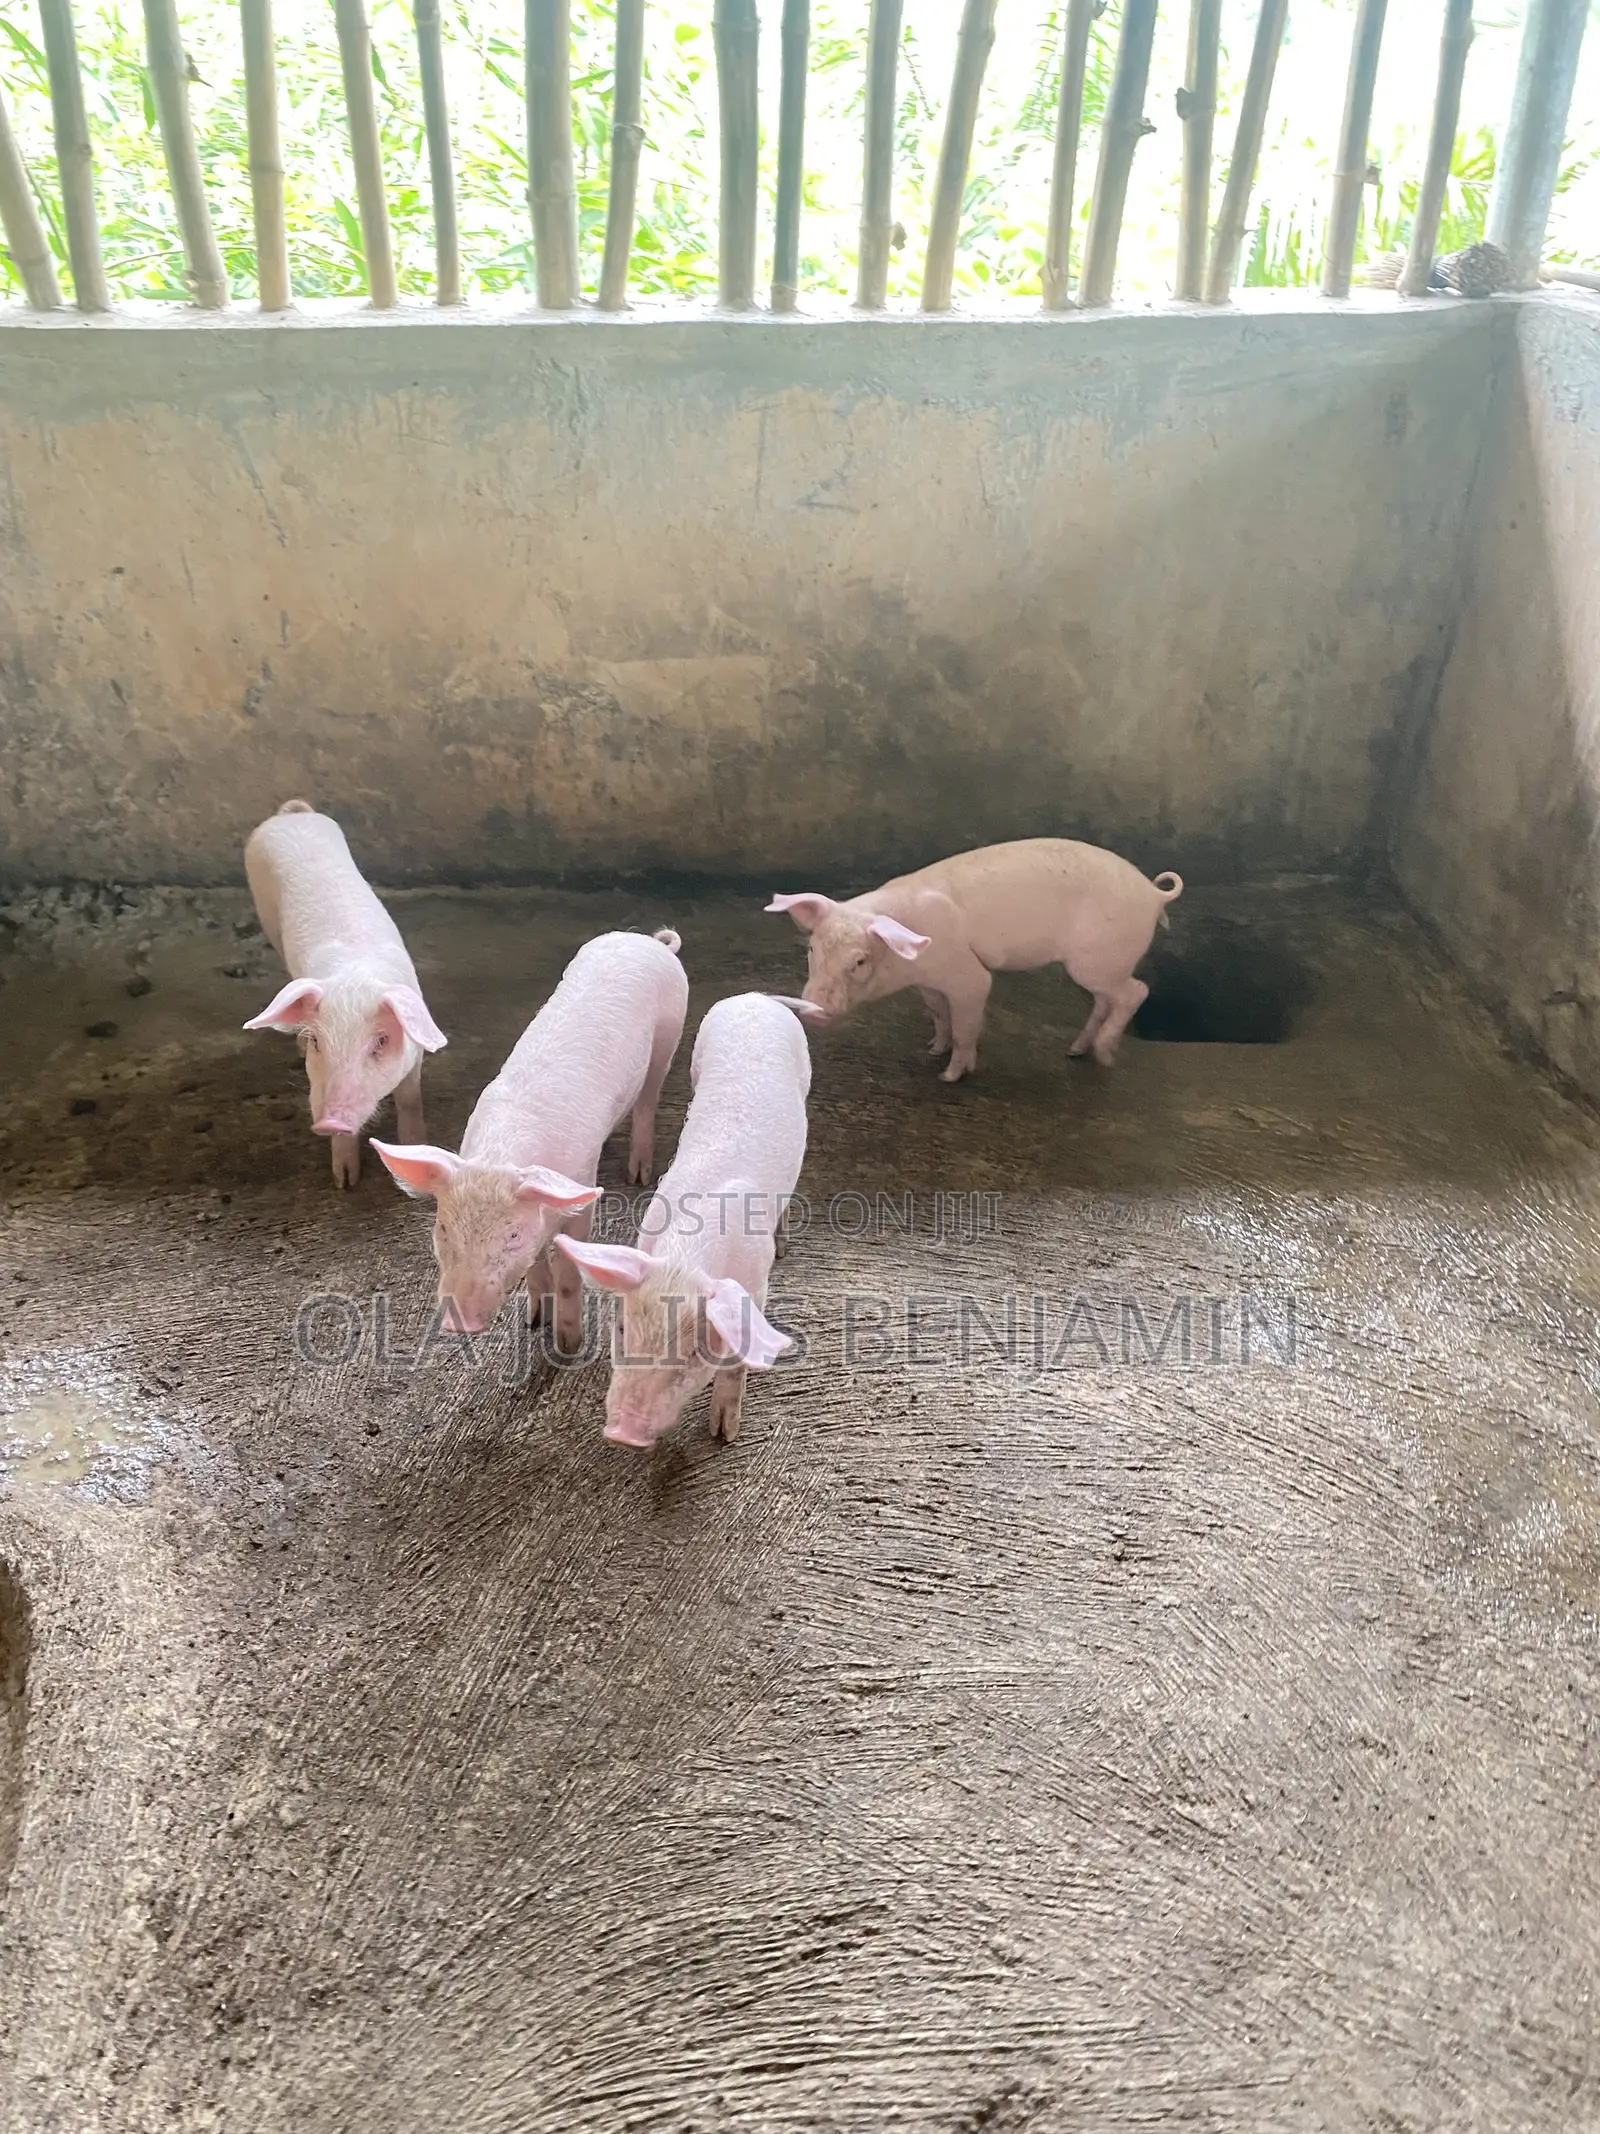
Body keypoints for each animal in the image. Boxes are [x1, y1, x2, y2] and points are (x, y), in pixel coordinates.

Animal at [243, 800, 448, 1186]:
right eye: (317, 1042)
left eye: (381, 1041)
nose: (329, 1120)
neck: (357, 977)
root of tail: (291, 815)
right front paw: (345, 1183)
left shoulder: (414, 1057)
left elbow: (410, 1101)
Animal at [372, 928, 688, 1350]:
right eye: (442, 1228)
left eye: (512, 1234)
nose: (459, 1322)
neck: (499, 1156)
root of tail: (652, 943)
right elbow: (537, 1268)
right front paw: (534, 1322)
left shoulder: (581, 1198)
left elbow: (569, 1271)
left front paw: (569, 1346)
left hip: (668, 1037)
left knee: (648, 1099)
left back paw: (638, 1173)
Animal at [557, 992, 809, 1450]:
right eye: (622, 1330)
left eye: (694, 1353)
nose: (623, 1432)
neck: (687, 1259)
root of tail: (756, 997)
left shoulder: (755, 1284)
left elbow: (737, 1361)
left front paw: (724, 1434)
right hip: (696, 1059)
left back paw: (784, 1246)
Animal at [766, 837, 1183, 1082]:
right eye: (812, 950)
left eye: (860, 961)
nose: (814, 1008)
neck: (911, 962)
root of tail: (1153, 894)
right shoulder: (929, 982)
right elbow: (939, 1014)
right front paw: (933, 1048)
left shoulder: (967, 976)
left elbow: (968, 1022)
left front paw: (949, 1076)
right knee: (1105, 1000)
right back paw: (1076, 1051)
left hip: (1096, 960)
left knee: (1136, 991)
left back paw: (1105, 1056)